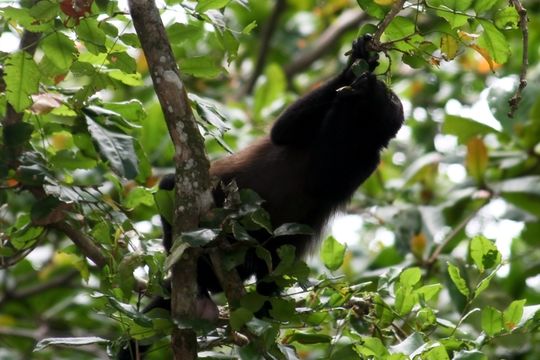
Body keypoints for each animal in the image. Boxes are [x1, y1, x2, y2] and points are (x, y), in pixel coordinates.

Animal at [158, 35, 402, 310]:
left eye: (391, 99)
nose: (378, 83)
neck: (358, 129)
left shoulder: (370, 160)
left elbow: (322, 182)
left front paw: (348, 98)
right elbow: (281, 131)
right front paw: (356, 65)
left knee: (271, 263)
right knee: (170, 184)